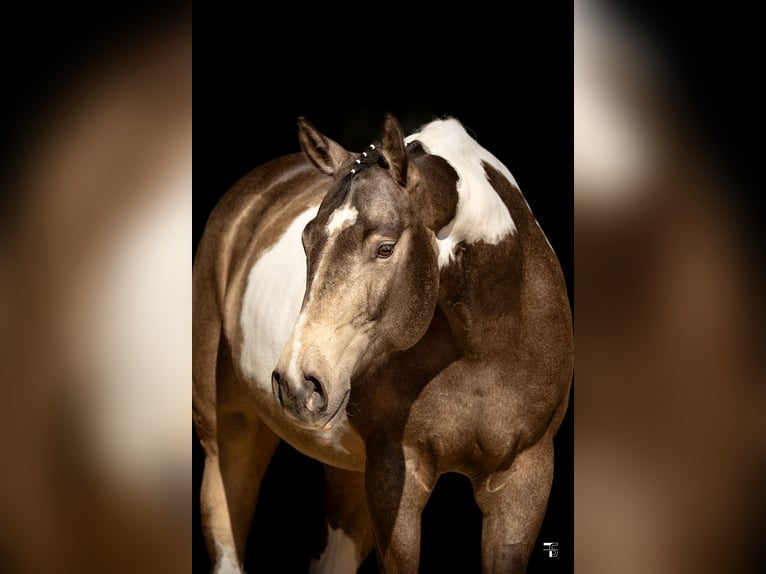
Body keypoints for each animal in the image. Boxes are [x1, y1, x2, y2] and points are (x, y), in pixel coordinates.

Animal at [193, 114, 573, 573]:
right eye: (306, 241)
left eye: (386, 248)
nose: (297, 384)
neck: (483, 348)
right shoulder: (395, 474)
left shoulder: (524, 479)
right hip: (228, 440)